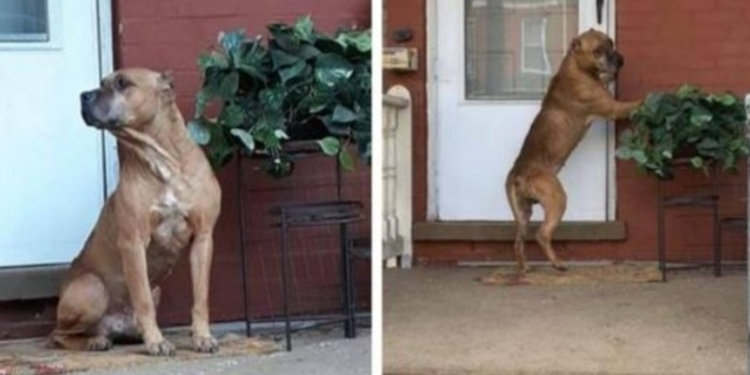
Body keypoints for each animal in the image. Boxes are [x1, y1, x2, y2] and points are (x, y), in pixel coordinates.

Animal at [48, 68, 220, 358]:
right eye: (102, 83)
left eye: (122, 83)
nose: (84, 95)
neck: (163, 162)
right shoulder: (133, 242)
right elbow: (143, 300)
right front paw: (157, 341)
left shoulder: (203, 238)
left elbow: (201, 297)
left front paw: (202, 337)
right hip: (92, 289)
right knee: (58, 336)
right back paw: (95, 341)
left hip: (156, 288)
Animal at [506, 29, 640, 276]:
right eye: (597, 50)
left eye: (611, 43)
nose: (621, 60)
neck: (576, 67)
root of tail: (519, 174)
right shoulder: (614, 108)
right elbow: (637, 102)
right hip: (557, 200)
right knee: (542, 235)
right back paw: (558, 264)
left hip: (522, 213)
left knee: (519, 241)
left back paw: (525, 268)